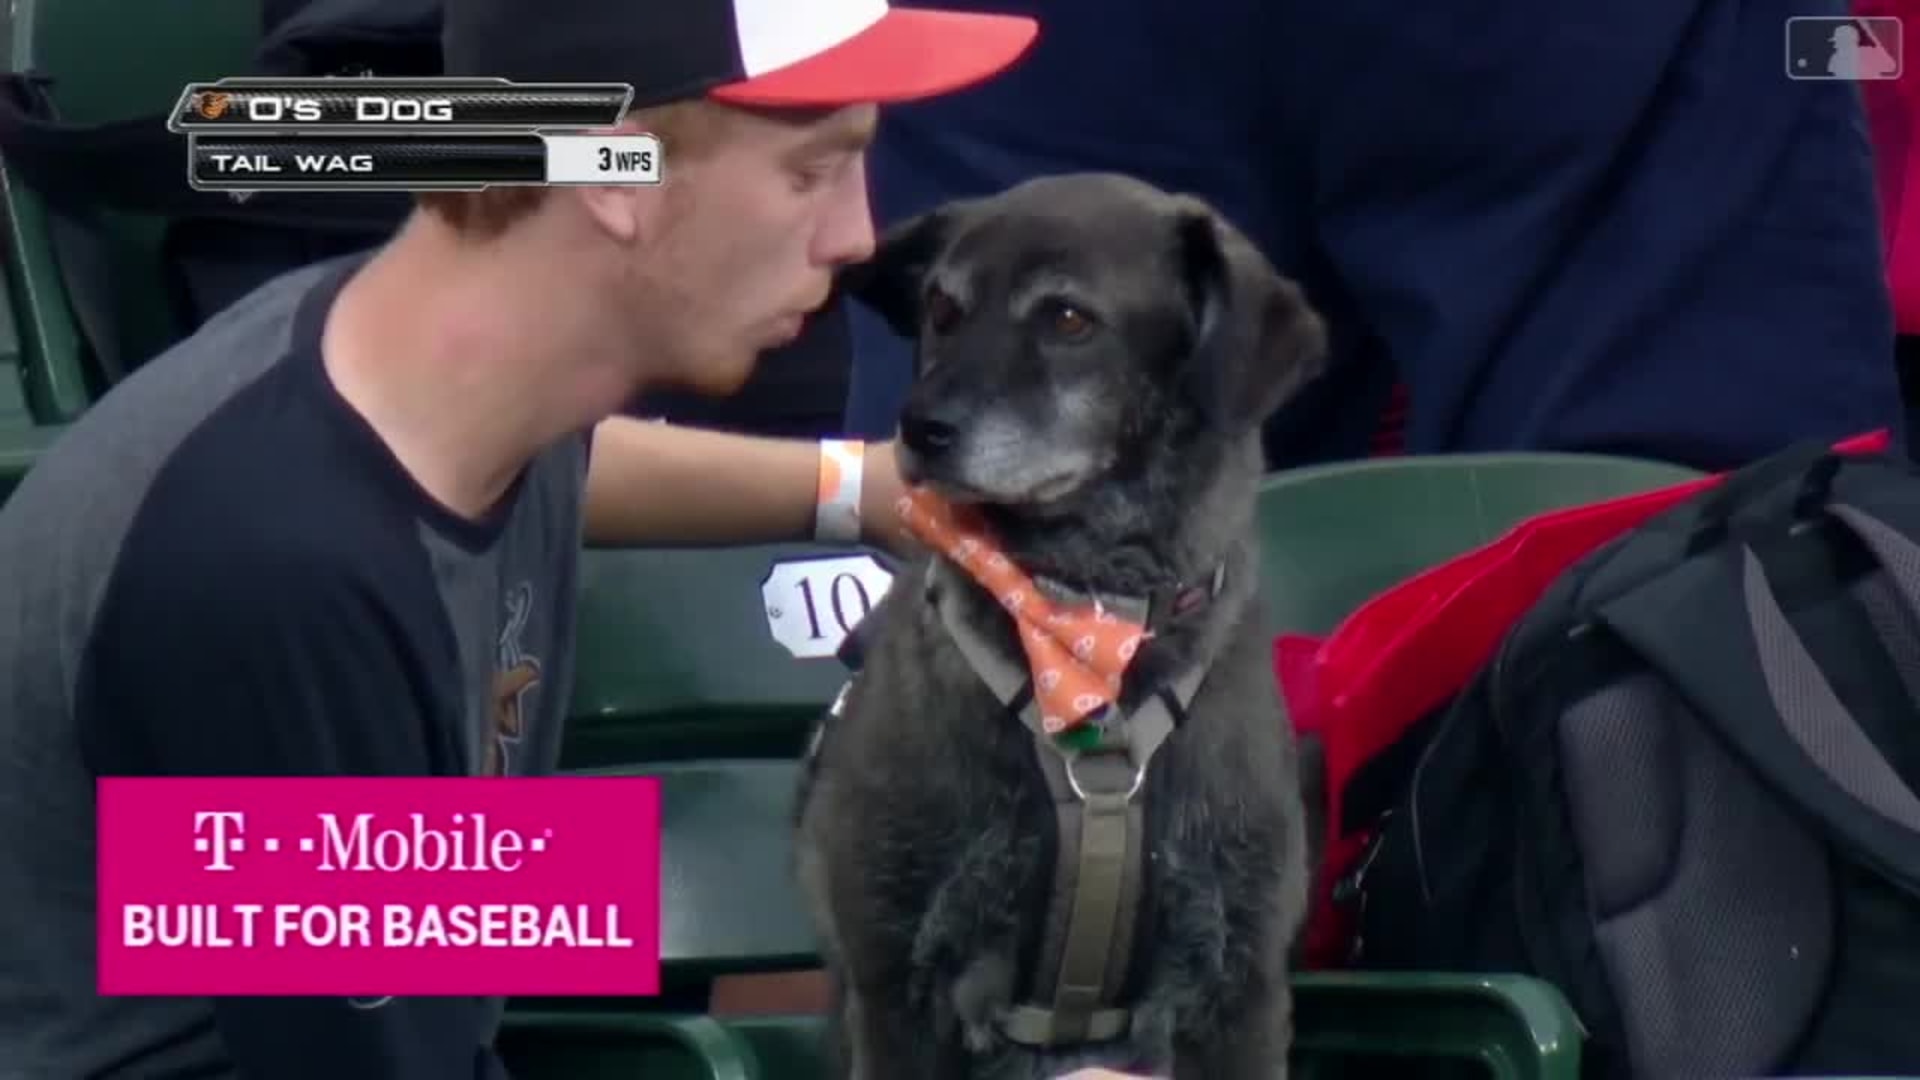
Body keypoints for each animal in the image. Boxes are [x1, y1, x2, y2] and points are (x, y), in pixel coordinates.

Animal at [791, 171, 1320, 1076]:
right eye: (941, 309)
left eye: (1069, 319)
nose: (918, 429)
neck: (1083, 624)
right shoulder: (894, 986)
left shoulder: (1238, 988)